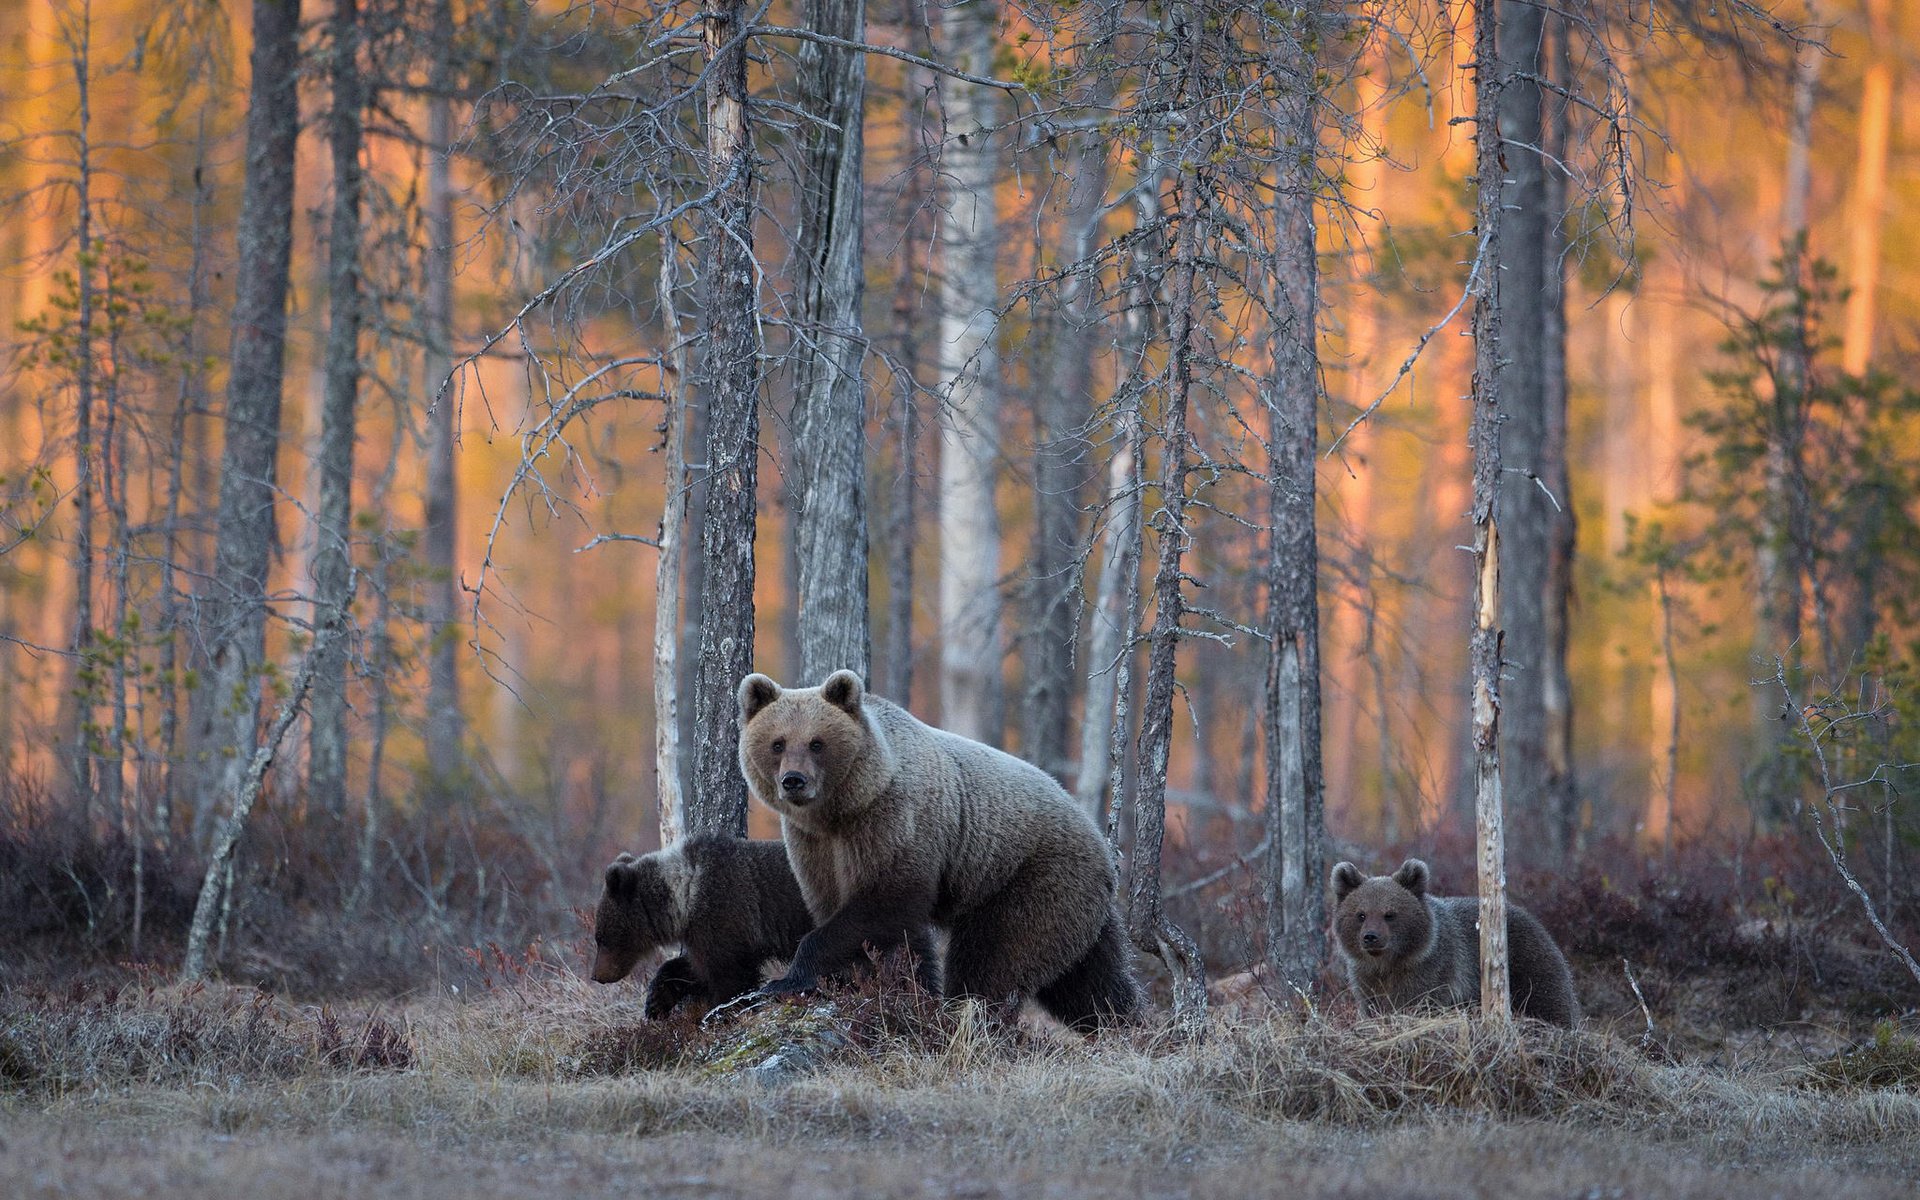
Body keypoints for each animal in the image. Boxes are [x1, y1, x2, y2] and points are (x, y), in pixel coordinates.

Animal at [591, 837, 817, 1013]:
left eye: (601, 938)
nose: (596, 976)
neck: (685, 898)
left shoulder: (722, 914)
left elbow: (728, 976)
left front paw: (725, 1009)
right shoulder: (703, 932)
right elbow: (694, 968)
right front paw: (655, 1002)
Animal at [737, 664, 1136, 1029]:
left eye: (817, 743)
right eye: (777, 743)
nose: (794, 780)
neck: (842, 810)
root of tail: (1100, 841)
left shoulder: (894, 823)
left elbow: (883, 904)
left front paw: (787, 980)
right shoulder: (814, 846)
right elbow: (859, 918)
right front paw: (884, 986)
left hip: (1031, 877)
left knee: (996, 958)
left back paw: (971, 1016)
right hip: (1077, 907)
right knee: (1089, 978)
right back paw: (1123, 1025)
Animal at [1328, 856, 1582, 1021]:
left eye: (1389, 914)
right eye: (1361, 914)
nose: (1371, 937)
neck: (1390, 963)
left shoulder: (1431, 969)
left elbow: (1417, 1000)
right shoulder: (1365, 978)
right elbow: (1373, 1005)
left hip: (1530, 964)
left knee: (1549, 1000)